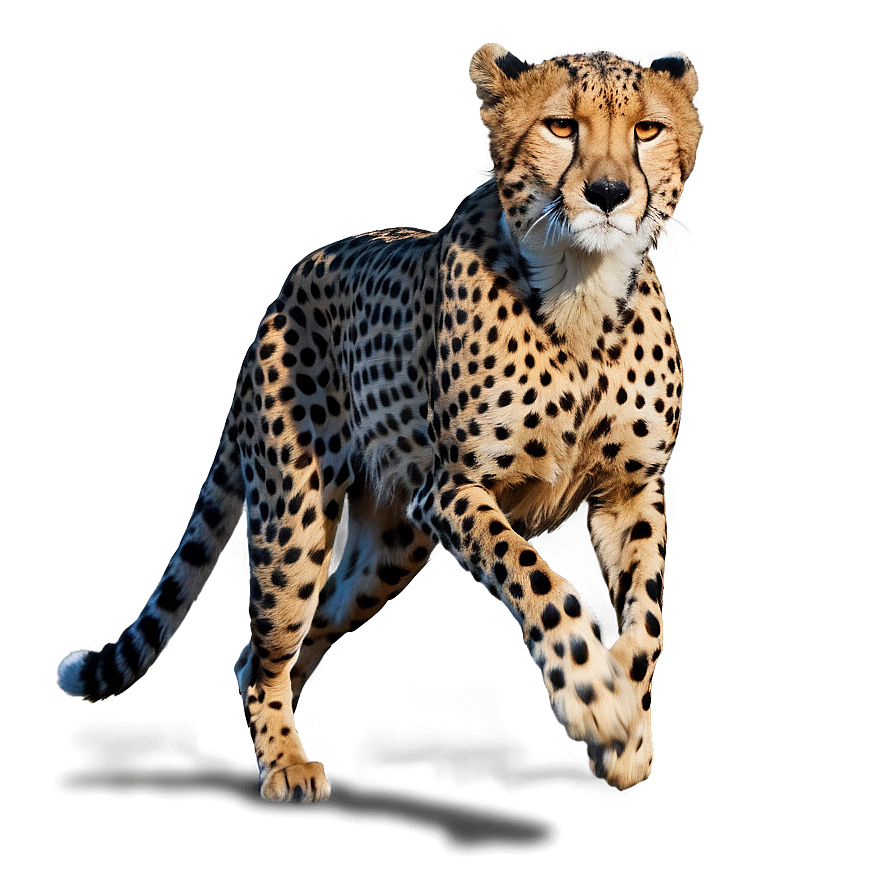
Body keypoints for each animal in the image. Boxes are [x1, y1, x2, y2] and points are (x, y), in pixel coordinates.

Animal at [57, 43, 701, 801]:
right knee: (270, 651)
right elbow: (539, 579)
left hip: (390, 553)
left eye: (648, 130)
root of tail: (294, 277)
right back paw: (285, 762)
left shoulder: (629, 490)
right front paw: (592, 694)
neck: (582, 286)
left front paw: (627, 723)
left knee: (283, 644)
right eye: (561, 126)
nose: (608, 193)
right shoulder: (451, 490)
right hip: (295, 522)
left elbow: (649, 614)